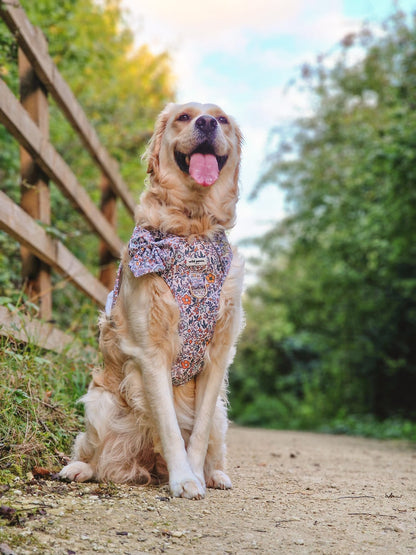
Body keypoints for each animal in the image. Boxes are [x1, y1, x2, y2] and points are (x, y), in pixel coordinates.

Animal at [60, 102, 245, 502]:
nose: (206, 122)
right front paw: (184, 479)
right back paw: (80, 468)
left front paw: (195, 475)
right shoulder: (150, 350)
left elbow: (197, 433)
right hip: (101, 404)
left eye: (221, 119)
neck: (191, 230)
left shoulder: (219, 353)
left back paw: (215, 475)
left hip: (222, 416)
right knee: (98, 454)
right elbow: (170, 427)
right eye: (184, 117)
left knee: (213, 445)